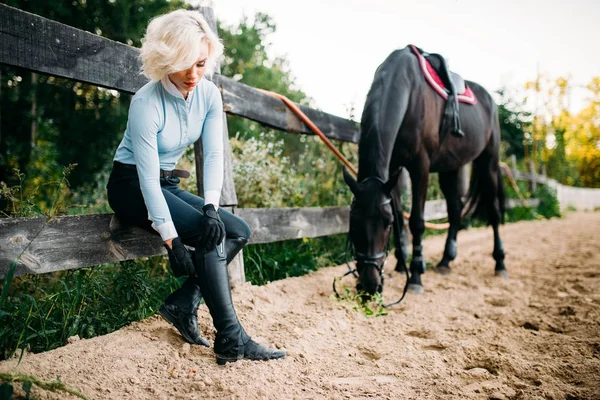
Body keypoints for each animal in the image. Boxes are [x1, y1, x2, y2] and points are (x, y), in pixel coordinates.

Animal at [342, 45, 506, 296]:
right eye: (353, 221)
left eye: (385, 223)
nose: (369, 285)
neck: (409, 92)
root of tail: (489, 100)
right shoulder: (393, 170)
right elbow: (401, 216)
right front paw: (401, 265)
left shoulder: (420, 166)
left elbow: (416, 221)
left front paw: (416, 275)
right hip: (451, 167)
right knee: (455, 210)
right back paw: (446, 261)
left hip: (489, 162)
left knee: (494, 211)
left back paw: (500, 263)